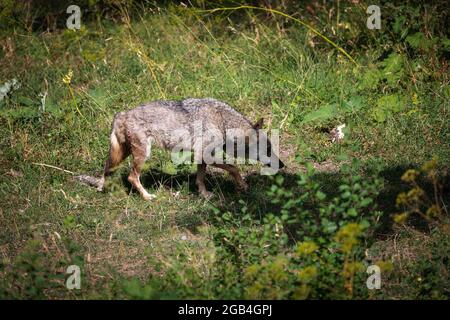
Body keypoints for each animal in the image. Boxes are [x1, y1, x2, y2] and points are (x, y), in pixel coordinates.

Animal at [89, 98, 284, 200]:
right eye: (268, 148)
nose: (282, 165)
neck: (222, 121)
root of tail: (121, 114)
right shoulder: (204, 154)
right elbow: (233, 168)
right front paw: (242, 185)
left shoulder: (201, 157)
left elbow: (200, 178)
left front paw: (204, 194)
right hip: (143, 155)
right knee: (131, 177)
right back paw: (147, 197)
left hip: (121, 155)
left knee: (106, 169)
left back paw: (100, 188)